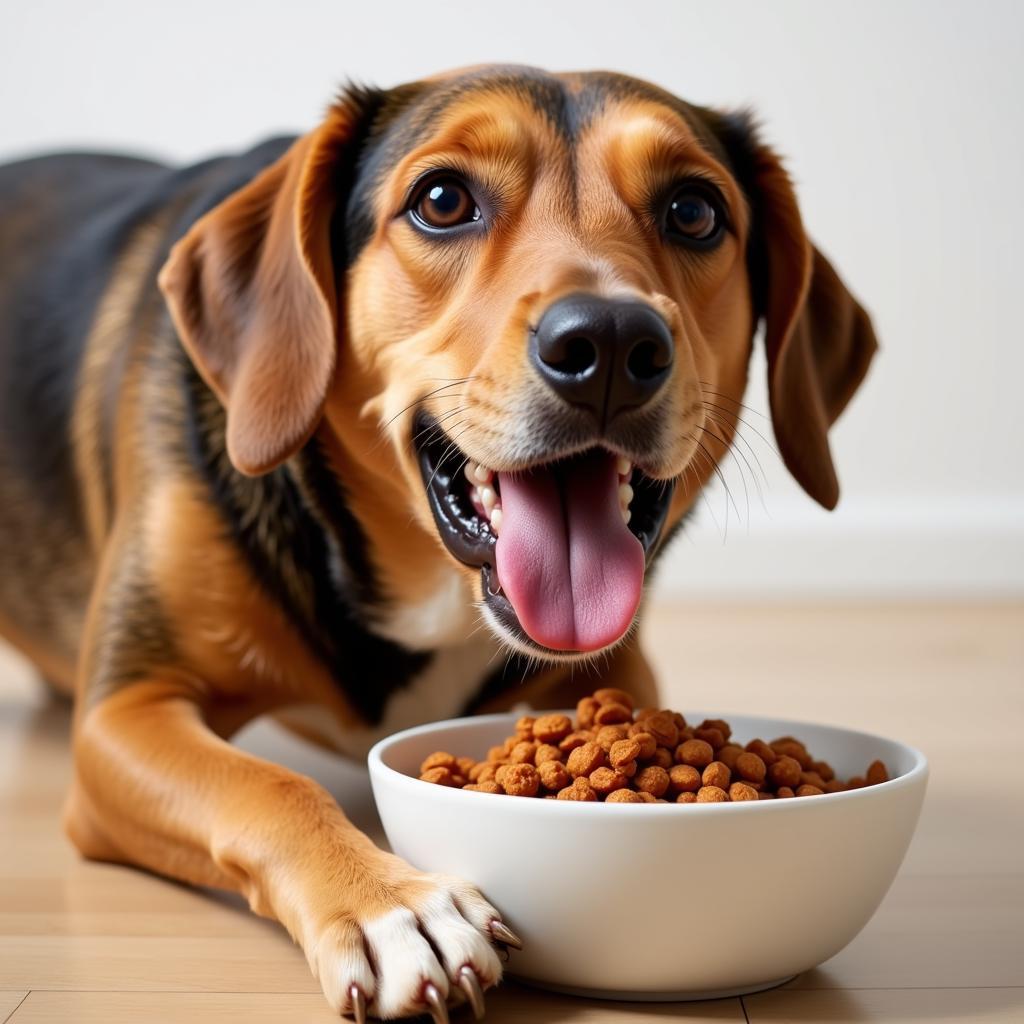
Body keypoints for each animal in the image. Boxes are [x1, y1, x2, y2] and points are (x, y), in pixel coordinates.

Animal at [0, 64, 880, 1015]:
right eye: (442, 200)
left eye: (693, 212)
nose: (610, 342)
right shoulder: (126, 711)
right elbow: (271, 785)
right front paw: (391, 905)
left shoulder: (617, 679)